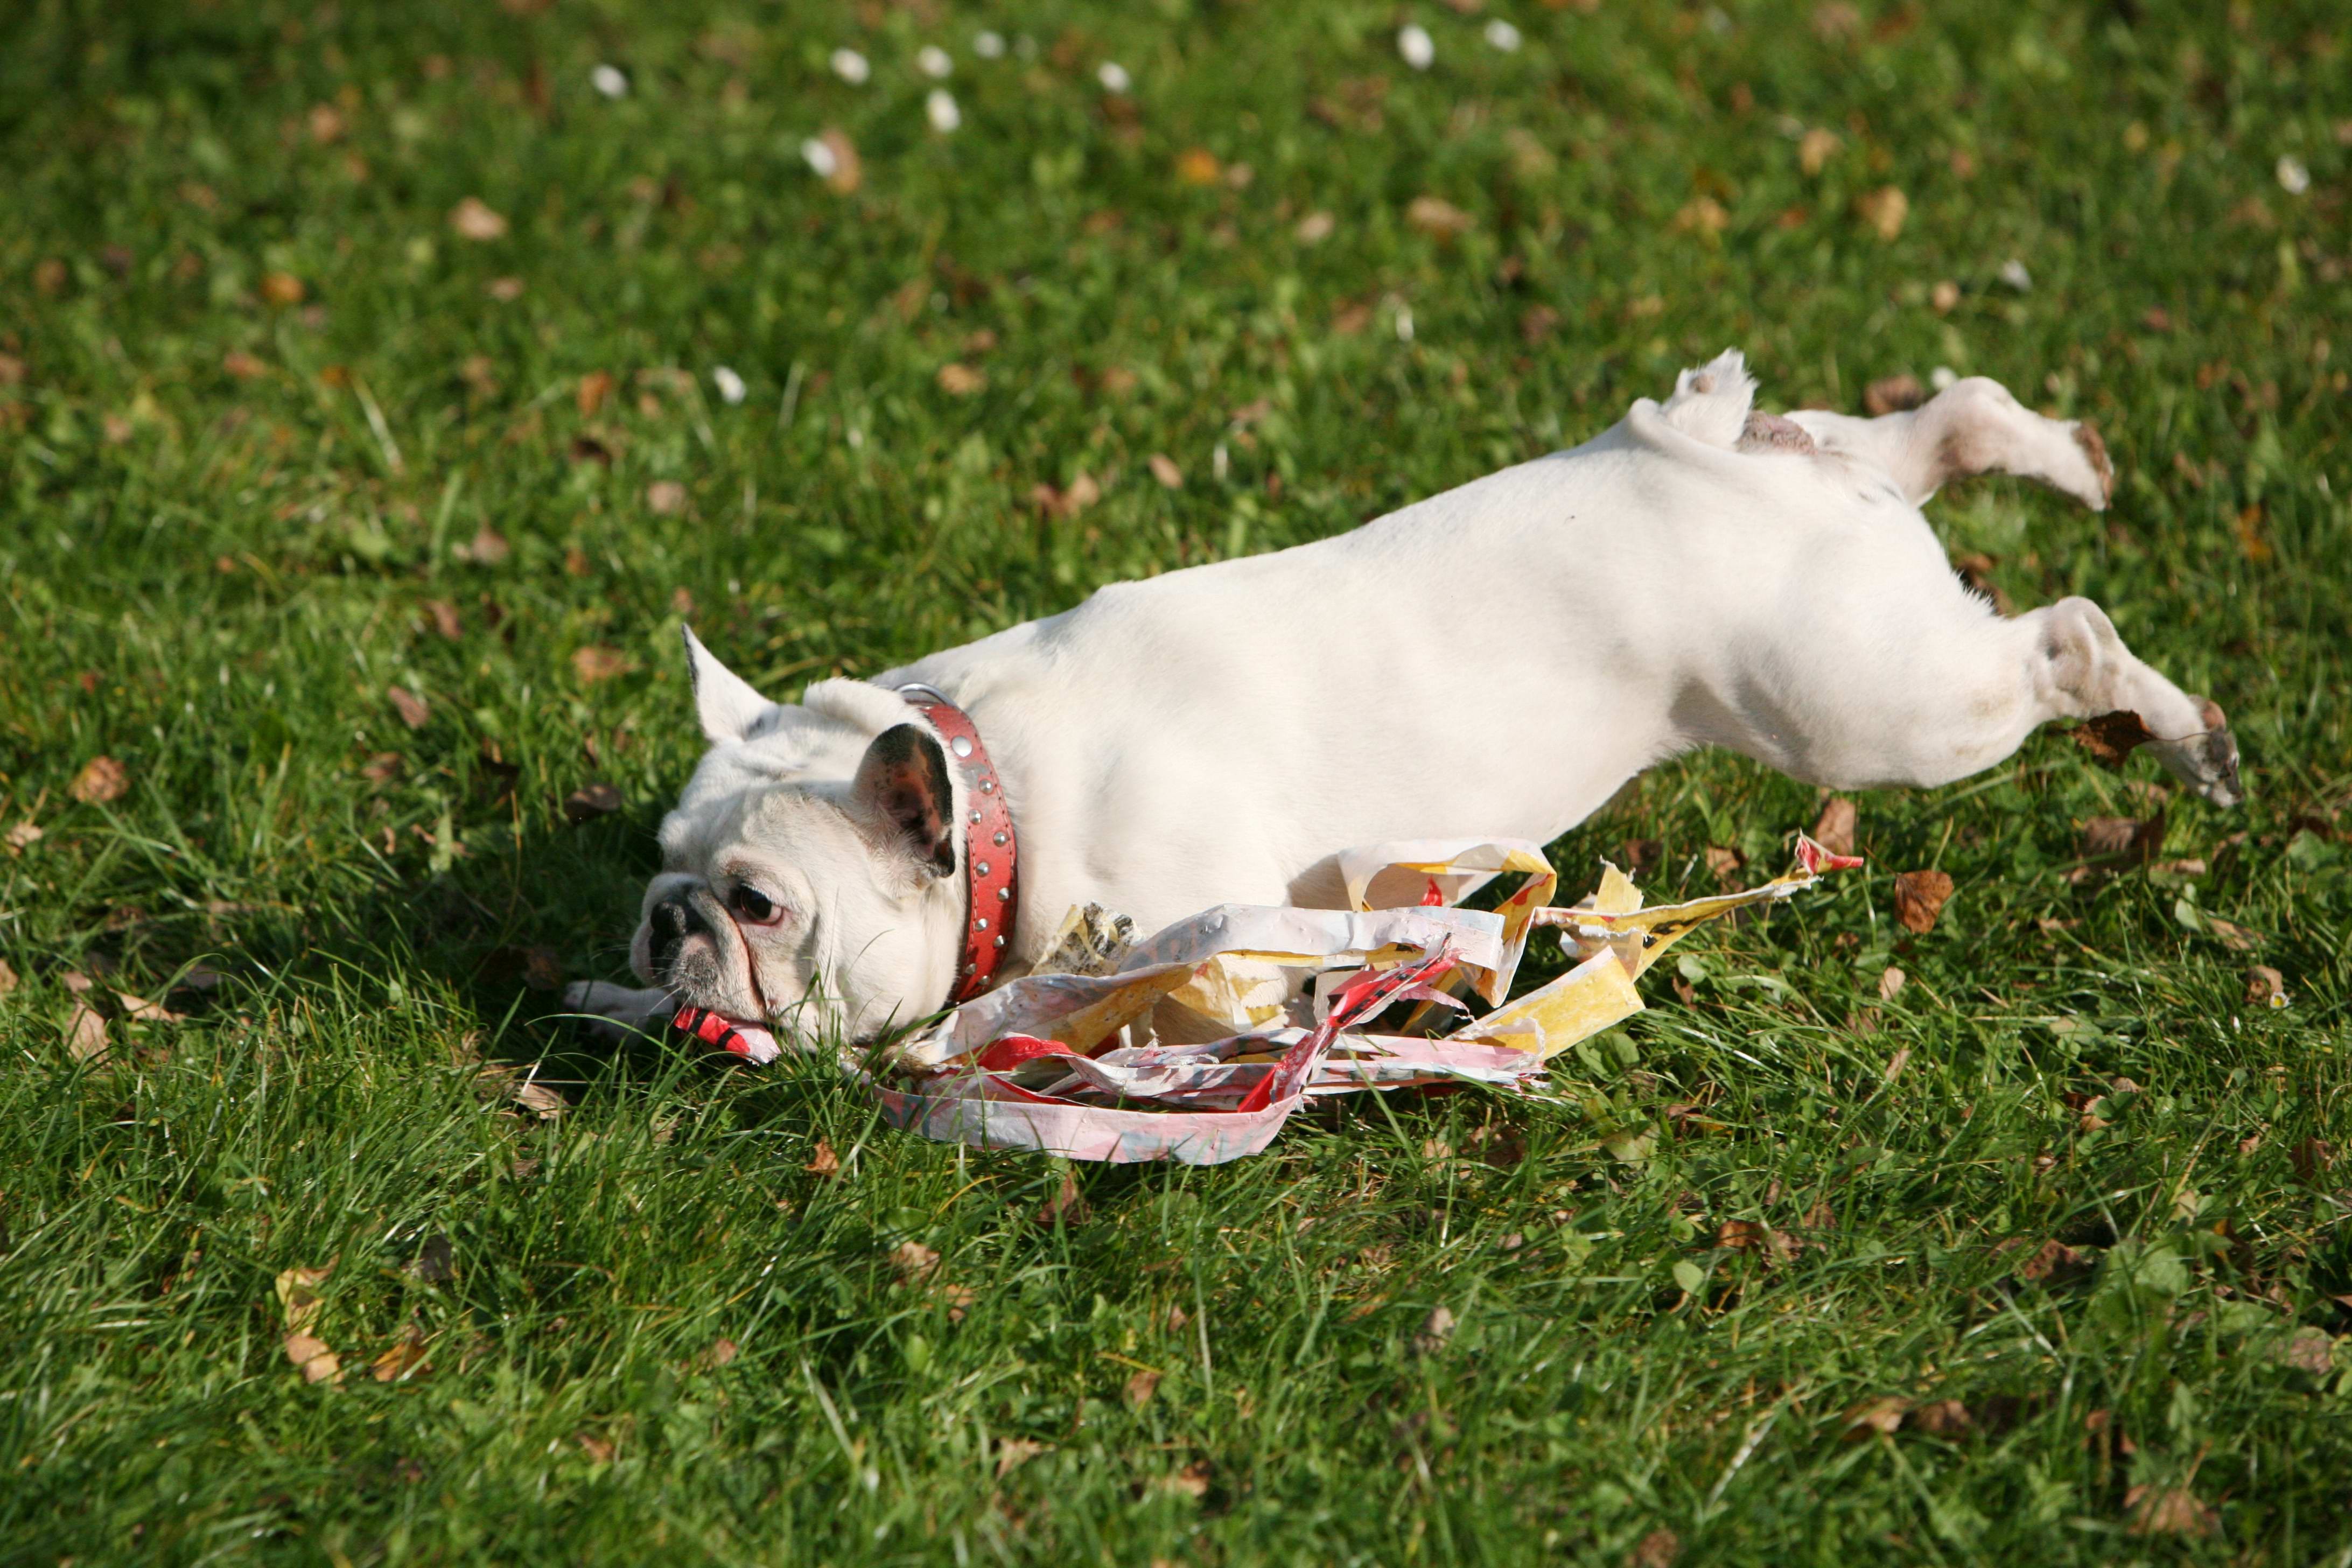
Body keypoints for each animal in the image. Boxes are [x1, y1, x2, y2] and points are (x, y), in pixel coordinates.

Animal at [564, 350, 2239, 1048]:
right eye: (661, 865)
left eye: (759, 905)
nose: (665, 919)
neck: (999, 798)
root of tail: (1700, 443)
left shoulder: (1212, 936)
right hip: (1855, 542)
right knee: (1950, 421)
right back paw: (2069, 460)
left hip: (1867, 707)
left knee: (2061, 639)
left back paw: (2177, 730)